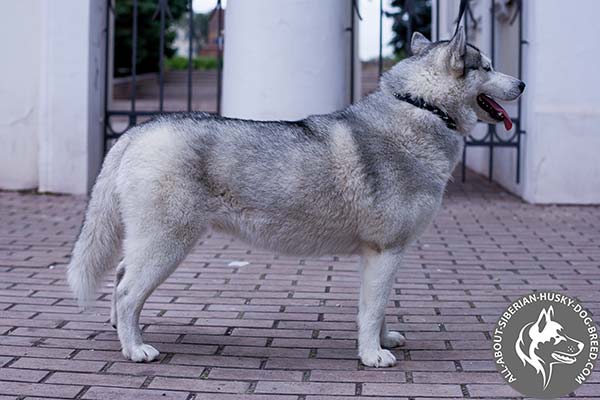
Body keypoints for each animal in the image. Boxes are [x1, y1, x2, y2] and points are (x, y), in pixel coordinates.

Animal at [67, 29, 524, 368]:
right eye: (487, 66)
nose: (521, 83)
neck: (423, 107)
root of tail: (139, 129)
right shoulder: (386, 250)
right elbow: (374, 308)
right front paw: (372, 355)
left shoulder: (378, 256)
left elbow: (375, 307)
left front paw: (380, 340)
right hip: (167, 244)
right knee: (127, 291)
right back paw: (134, 348)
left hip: (152, 242)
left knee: (120, 276)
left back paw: (120, 331)